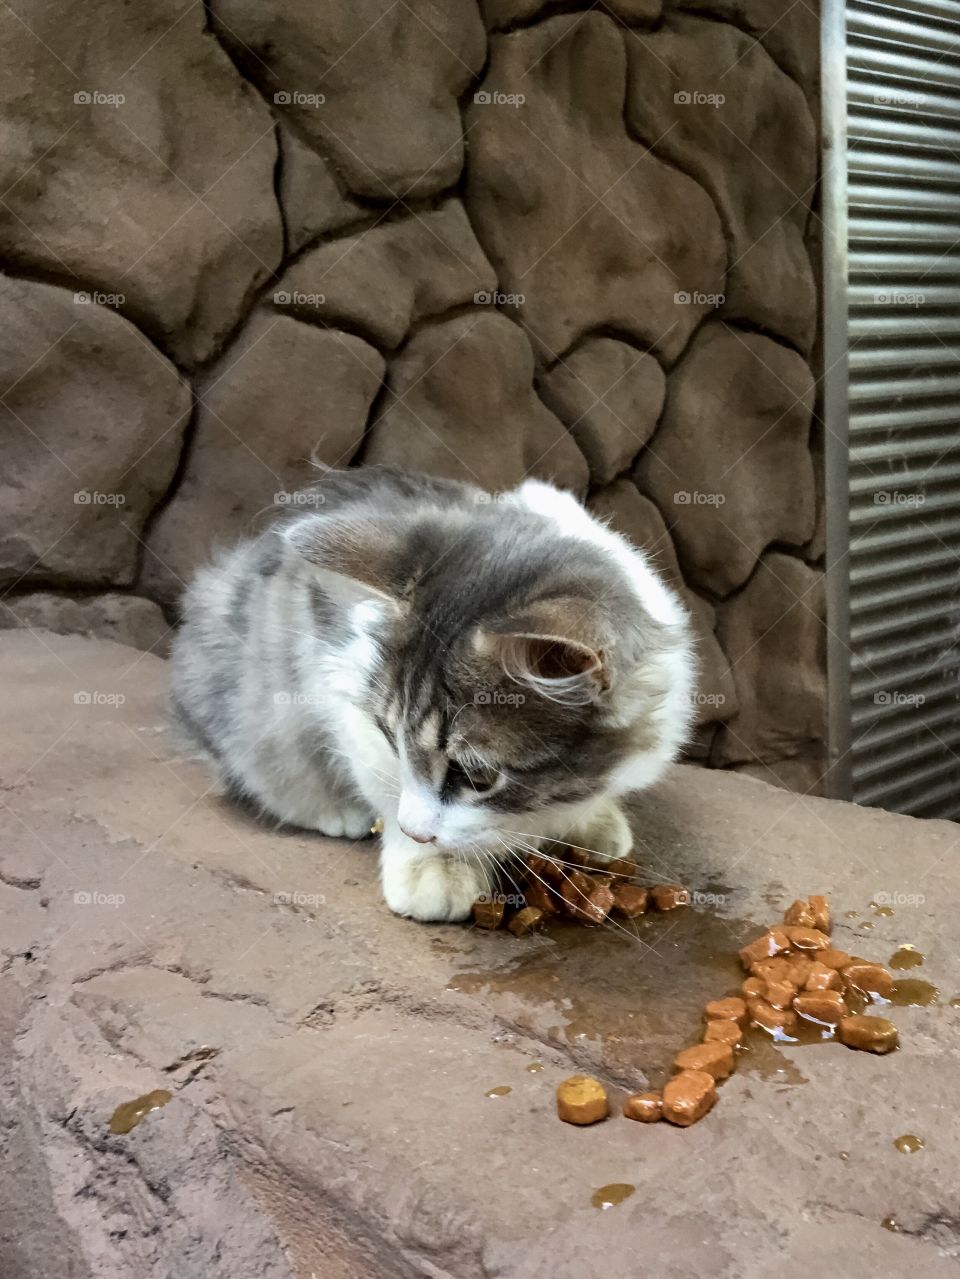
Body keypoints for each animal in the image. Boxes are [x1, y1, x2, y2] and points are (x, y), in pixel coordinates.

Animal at [172, 468, 695, 920]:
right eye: (391, 737)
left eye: (476, 776)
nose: (416, 833)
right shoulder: (343, 691)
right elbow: (390, 789)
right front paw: (433, 865)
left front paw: (590, 821)